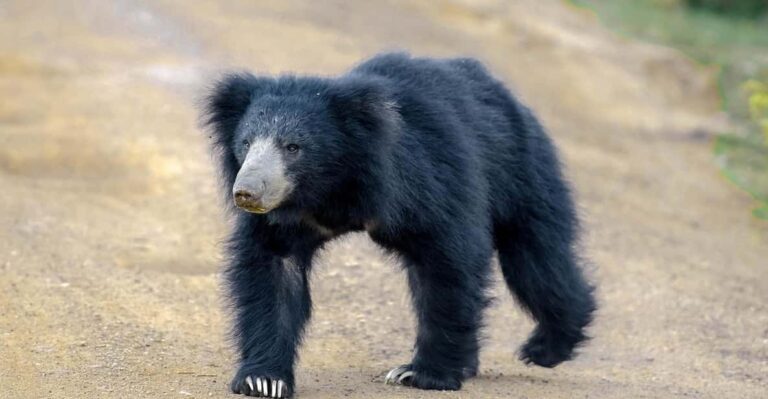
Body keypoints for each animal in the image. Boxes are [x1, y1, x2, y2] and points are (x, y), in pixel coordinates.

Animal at [202, 52, 592, 396]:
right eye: (246, 143)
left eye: (293, 147)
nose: (246, 193)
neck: (332, 188)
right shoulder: (287, 219)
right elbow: (273, 273)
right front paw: (263, 380)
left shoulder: (427, 180)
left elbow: (448, 264)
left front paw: (422, 374)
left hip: (522, 171)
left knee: (536, 262)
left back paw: (546, 347)